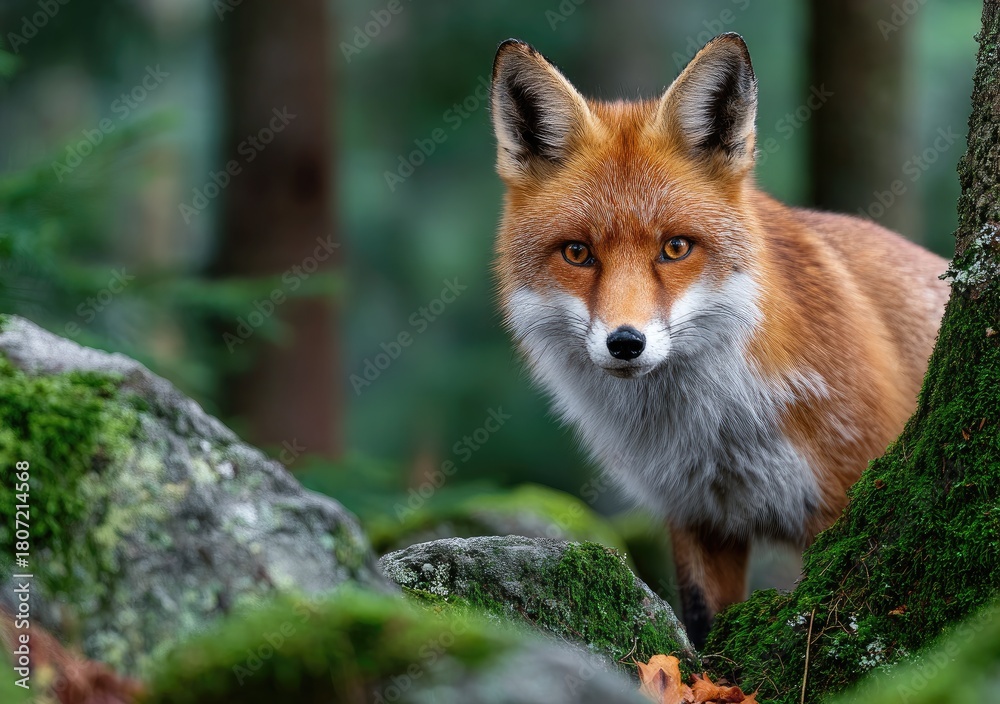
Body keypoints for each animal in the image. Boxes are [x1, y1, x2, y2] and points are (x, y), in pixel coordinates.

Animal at [489, 33, 949, 648]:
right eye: (578, 253)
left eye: (676, 248)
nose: (626, 342)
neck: (718, 431)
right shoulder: (699, 517)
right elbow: (705, 630)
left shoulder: (845, 496)